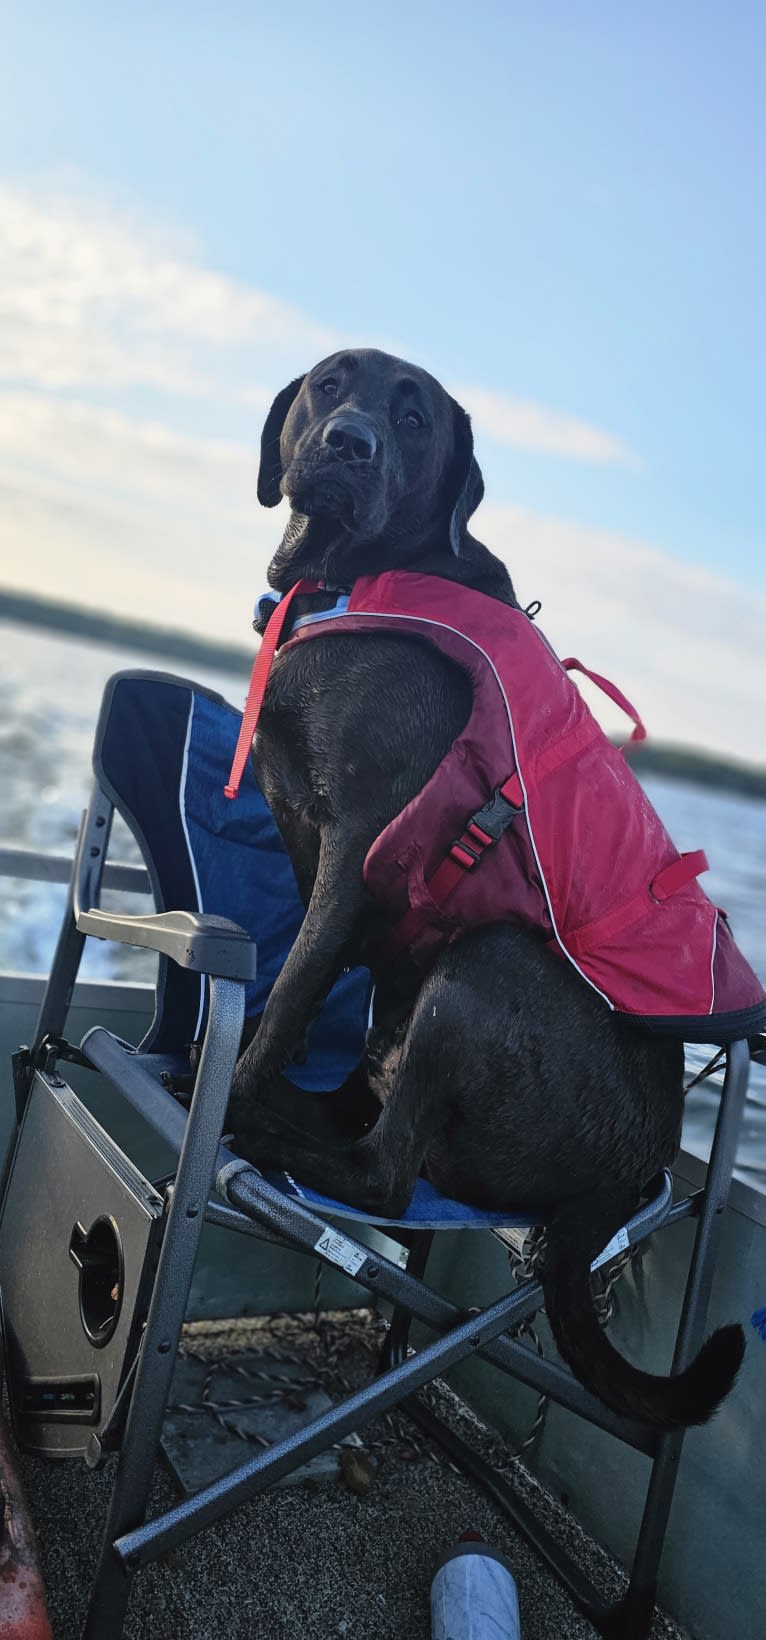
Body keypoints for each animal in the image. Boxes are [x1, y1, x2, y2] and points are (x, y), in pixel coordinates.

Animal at [229, 349, 744, 1436]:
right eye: (329, 384)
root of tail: (626, 1174)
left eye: (414, 418)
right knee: (372, 1109)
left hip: (484, 964)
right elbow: (294, 983)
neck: (342, 577)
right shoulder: (305, 838)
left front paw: (231, 1095)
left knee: (388, 1168)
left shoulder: (354, 837)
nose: (349, 444)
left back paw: (263, 1127)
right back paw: (300, 1111)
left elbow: (292, 991)